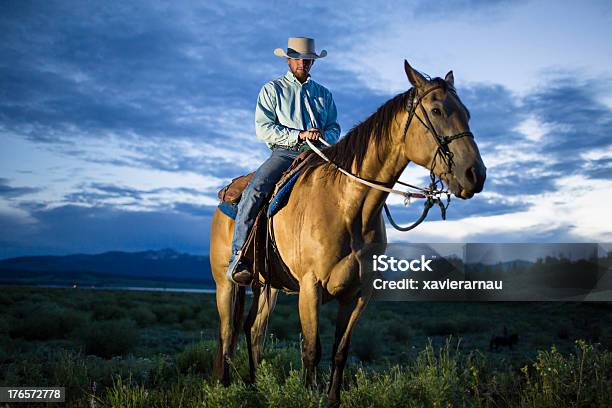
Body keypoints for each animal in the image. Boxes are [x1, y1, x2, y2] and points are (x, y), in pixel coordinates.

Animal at [210, 59, 488, 404]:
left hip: (267, 286)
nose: (475, 174)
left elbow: (340, 352)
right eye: (436, 110)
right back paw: (224, 385)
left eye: (466, 112)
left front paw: (331, 399)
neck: (347, 206)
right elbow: (311, 351)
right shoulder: (311, 288)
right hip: (226, 283)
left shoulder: (358, 294)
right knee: (227, 332)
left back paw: (255, 385)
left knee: (253, 329)